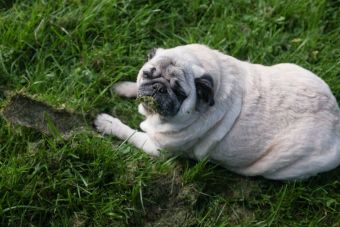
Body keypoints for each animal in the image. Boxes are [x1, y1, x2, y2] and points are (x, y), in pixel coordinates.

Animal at [94, 44, 340, 179]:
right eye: (148, 74)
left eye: (180, 92)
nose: (158, 88)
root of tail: (335, 118)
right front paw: (125, 87)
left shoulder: (158, 149)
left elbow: (131, 134)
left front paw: (108, 123)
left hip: (279, 168)